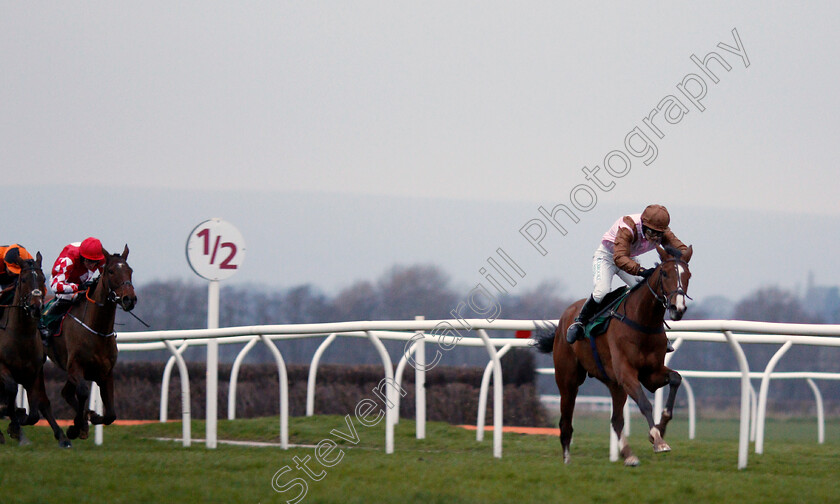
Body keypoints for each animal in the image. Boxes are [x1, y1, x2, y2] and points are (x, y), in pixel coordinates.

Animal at [0, 254, 70, 446]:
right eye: (23, 280)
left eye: (42, 279)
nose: (36, 306)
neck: (21, 336)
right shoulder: (2, 368)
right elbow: (11, 390)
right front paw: (13, 420)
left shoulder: (34, 372)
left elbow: (34, 411)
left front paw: (19, 420)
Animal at [44, 246, 135, 440]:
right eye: (111, 271)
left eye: (130, 270)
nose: (129, 299)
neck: (96, 330)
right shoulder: (74, 367)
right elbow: (84, 391)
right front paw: (76, 426)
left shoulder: (106, 373)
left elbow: (111, 415)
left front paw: (91, 417)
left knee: (66, 393)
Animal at [536, 244, 692, 464]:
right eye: (664, 273)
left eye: (688, 275)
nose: (677, 308)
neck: (642, 322)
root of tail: (565, 317)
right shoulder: (626, 372)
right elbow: (645, 404)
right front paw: (657, 439)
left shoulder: (651, 374)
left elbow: (676, 379)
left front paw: (660, 430)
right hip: (568, 380)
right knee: (565, 422)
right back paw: (567, 460)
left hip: (614, 383)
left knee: (616, 420)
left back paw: (629, 455)